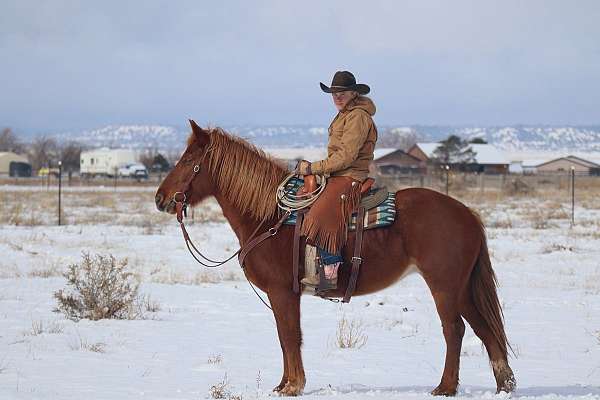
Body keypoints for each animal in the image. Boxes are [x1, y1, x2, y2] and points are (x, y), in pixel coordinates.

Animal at [155, 121, 516, 396]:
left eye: (189, 160)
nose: (160, 198)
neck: (271, 215)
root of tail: (466, 213)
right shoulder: (284, 294)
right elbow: (285, 337)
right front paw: (284, 384)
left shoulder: (282, 291)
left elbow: (289, 335)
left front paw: (293, 386)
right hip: (462, 287)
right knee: (484, 328)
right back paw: (504, 385)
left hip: (444, 285)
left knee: (454, 330)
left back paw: (445, 387)